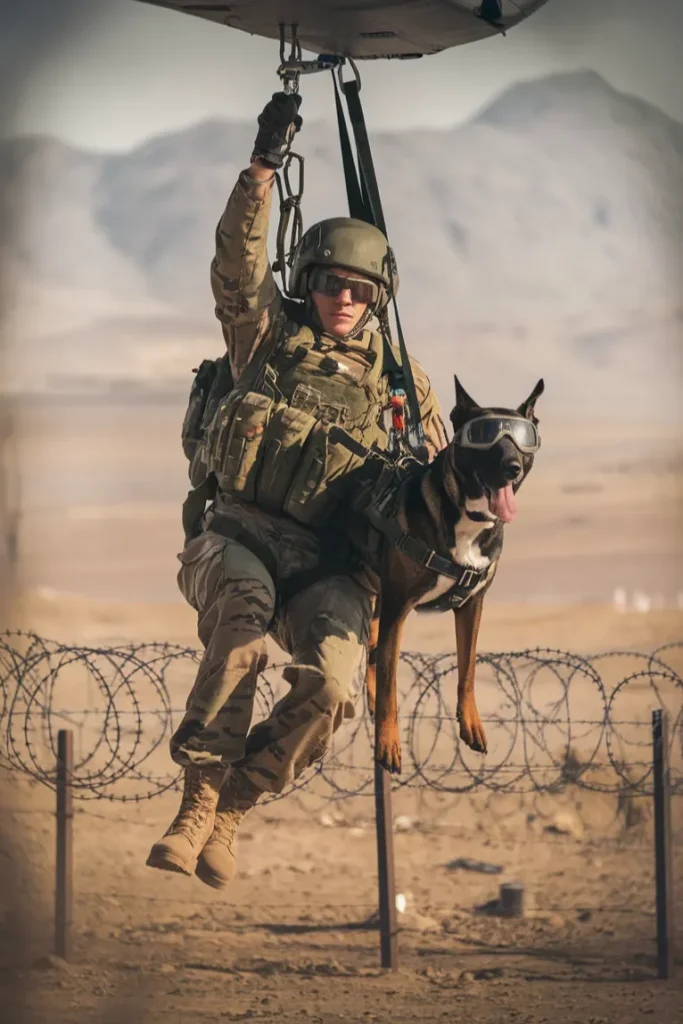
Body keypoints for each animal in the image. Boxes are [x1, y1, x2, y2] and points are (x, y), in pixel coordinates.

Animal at [362, 378, 544, 774]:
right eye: (484, 436)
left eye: (522, 438)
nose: (512, 467)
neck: (467, 518)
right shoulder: (397, 608)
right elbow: (389, 683)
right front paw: (387, 743)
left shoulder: (471, 605)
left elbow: (468, 669)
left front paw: (471, 724)